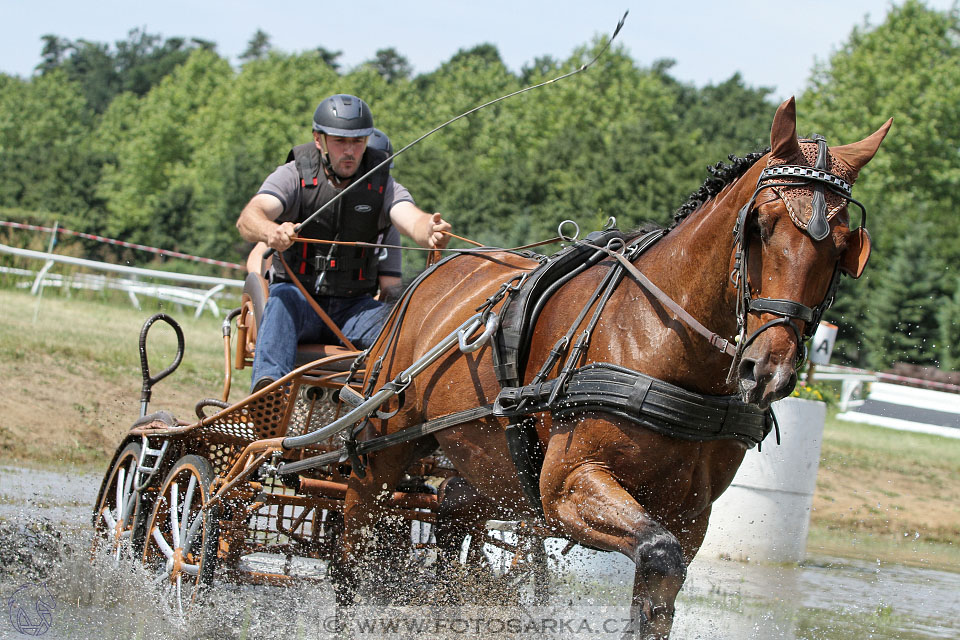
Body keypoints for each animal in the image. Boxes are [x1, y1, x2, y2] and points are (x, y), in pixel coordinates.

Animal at [336, 97, 892, 636]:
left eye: (844, 246)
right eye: (761, 225)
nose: (768, 369)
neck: (662, 338)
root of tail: (439, 267)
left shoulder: (691, 515)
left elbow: (658, 590)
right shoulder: (566, 487)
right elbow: (658, 553)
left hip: (486, 462)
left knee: (452, 509)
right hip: (384, 444)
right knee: (353, 535)